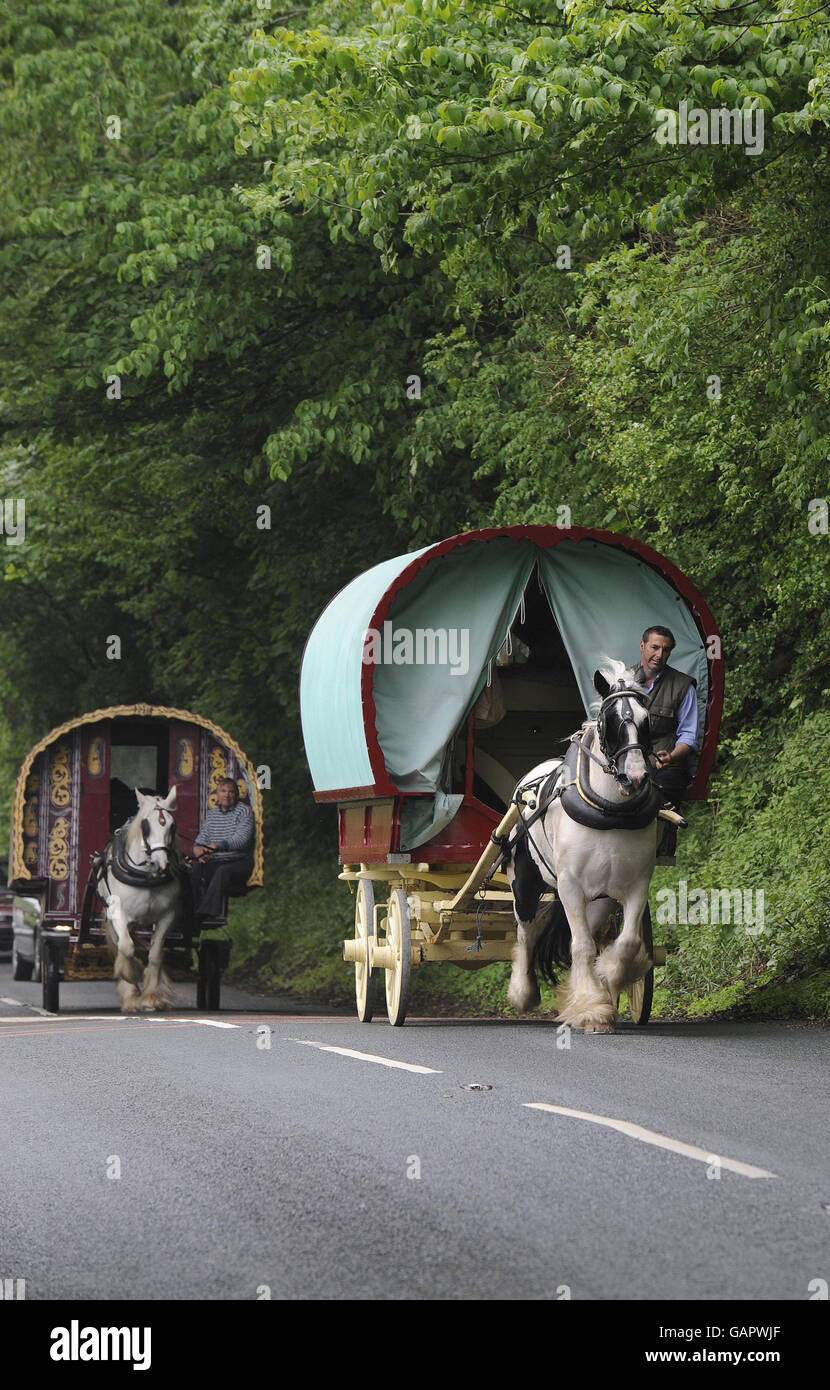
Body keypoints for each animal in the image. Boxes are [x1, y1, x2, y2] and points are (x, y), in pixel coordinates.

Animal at [96, 789, 180, 1017]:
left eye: (171, 825)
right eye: (146, 825)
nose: (162, 864)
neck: (146, 876)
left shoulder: (167, 916)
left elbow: (155, 955)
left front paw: (151, 997)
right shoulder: (118, 913)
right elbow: (126, 948)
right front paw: (131, 981)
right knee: (122, 945)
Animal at [506, 661, 658, 1034]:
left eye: (647, 719)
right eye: (609, 720)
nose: (635, 776)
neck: (610, 811)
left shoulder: (637, 884)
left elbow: (627, 942)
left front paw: (611, 980)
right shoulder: (570, 886)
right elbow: (582, 946)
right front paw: (590, 1009)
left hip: (600, 899)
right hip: (524, 882)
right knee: (526, 933)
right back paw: (523, 992)